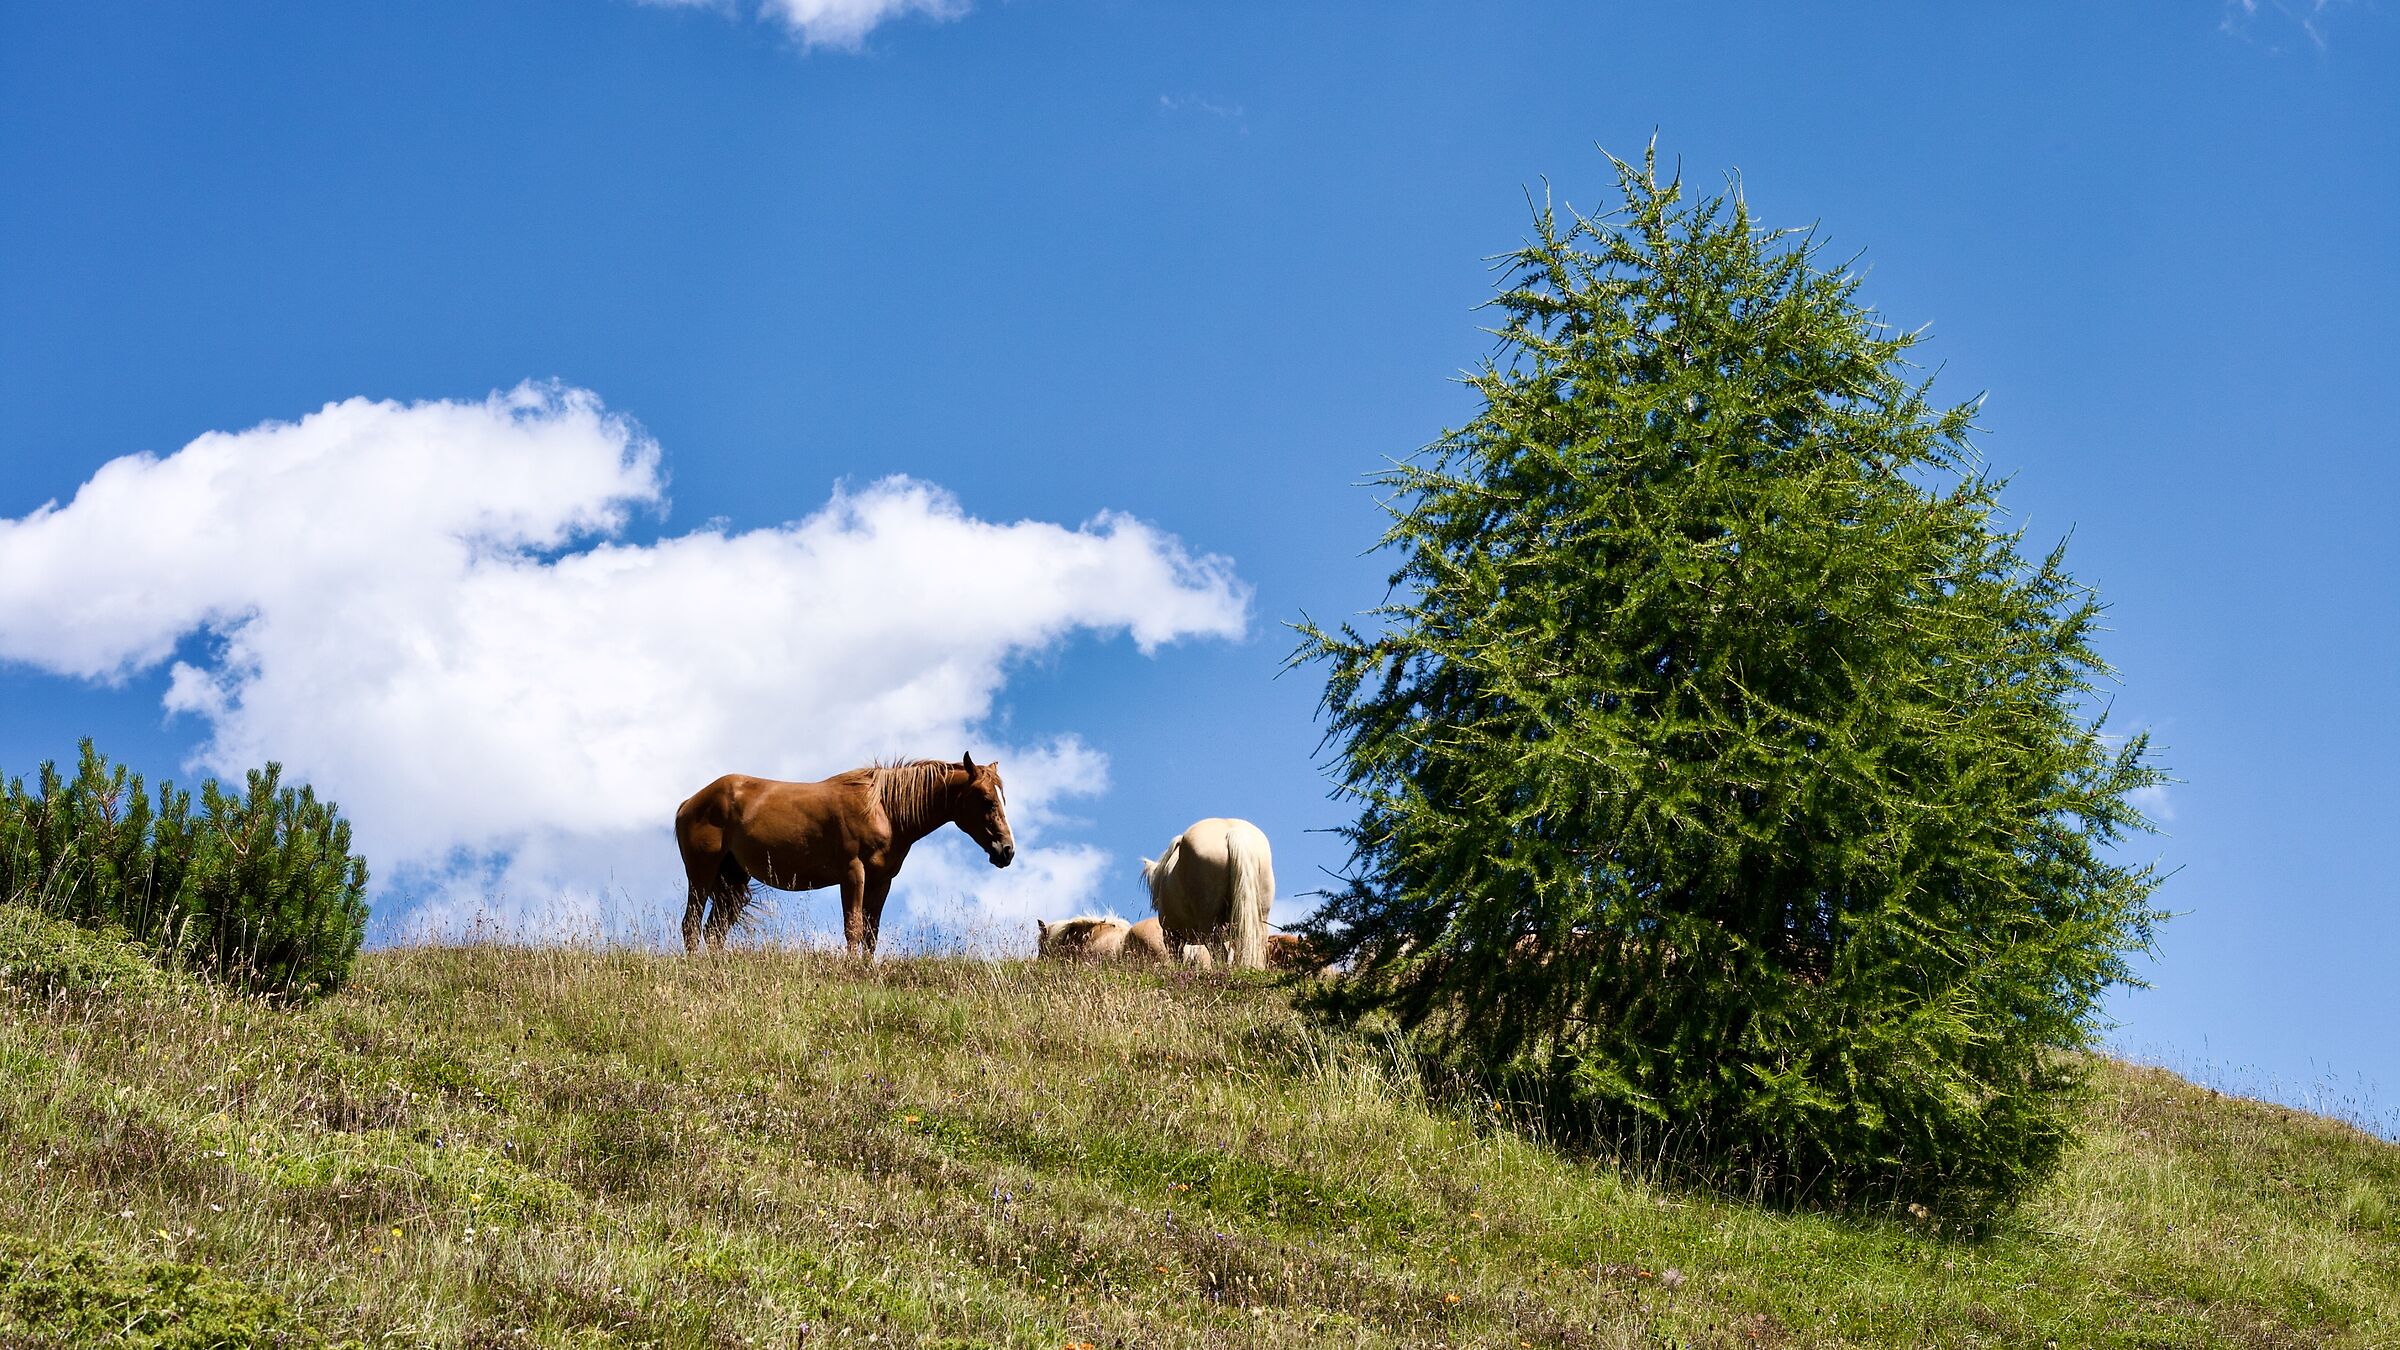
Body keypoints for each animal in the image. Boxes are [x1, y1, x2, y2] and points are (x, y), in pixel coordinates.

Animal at [673, 753, 1014, 957]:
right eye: (986, 800)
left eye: (1002, 798)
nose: (1006, 851)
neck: (883, 809)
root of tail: (690, 802)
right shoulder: (853, 874)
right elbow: (853, 928)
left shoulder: (881, 881)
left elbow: (871, 933)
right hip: (702, 875)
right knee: (691, 924)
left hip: (732, 879)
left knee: (714, 931)